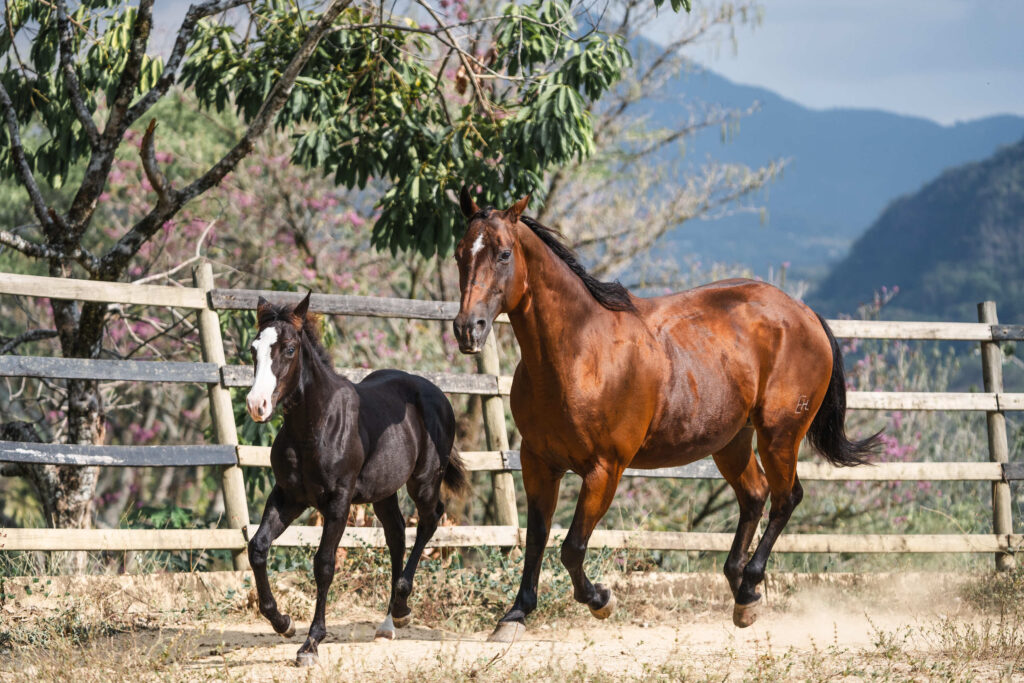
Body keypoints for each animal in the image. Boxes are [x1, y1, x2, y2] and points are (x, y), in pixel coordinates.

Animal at [244, 292, 468, 666]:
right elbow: (258, 547)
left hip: (422, 481)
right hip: (384, 492)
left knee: (429, 520)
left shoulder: (339, 501)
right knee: (396, 535)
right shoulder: (288, 496)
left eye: (289, 348)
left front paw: (310, 644)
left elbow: (324, 564)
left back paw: (402, 607)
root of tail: (436, 394)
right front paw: (283, 623)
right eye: (254, 348)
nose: (256, 405)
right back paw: (389, 622)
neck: (315, 425)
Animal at [452, 188, 880, 642]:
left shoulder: (604, 470)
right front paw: (514, 616)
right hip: (731, 441)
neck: (579, 355)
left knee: (786, 498)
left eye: (503, 254)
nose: (468, 329)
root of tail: (804, 312)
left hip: (779, 435)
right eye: (461, 253)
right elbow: (537, 539)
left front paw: (602, 600)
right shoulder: (538, 463)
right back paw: (741, 593)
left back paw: (749, 584)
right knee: (755, 494)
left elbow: (571, 548)